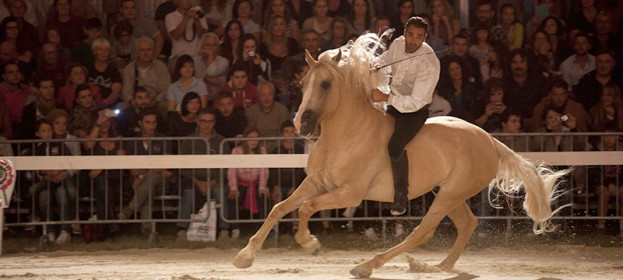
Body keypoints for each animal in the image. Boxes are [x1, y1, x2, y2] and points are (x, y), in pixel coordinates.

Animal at [233, 34, 564, 276]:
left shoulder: (349, 194)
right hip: (447, 193)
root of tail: (491, 141)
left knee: (422, 232)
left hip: (449, 194)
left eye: (325, 83)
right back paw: (440, 266)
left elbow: (305, 208)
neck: (346, 135)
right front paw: (245, 256)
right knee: (467, 224)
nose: (301, 124)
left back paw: (367, 266)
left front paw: (309, 244)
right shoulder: (317, 183)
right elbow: (279, 208)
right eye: (303, 84)